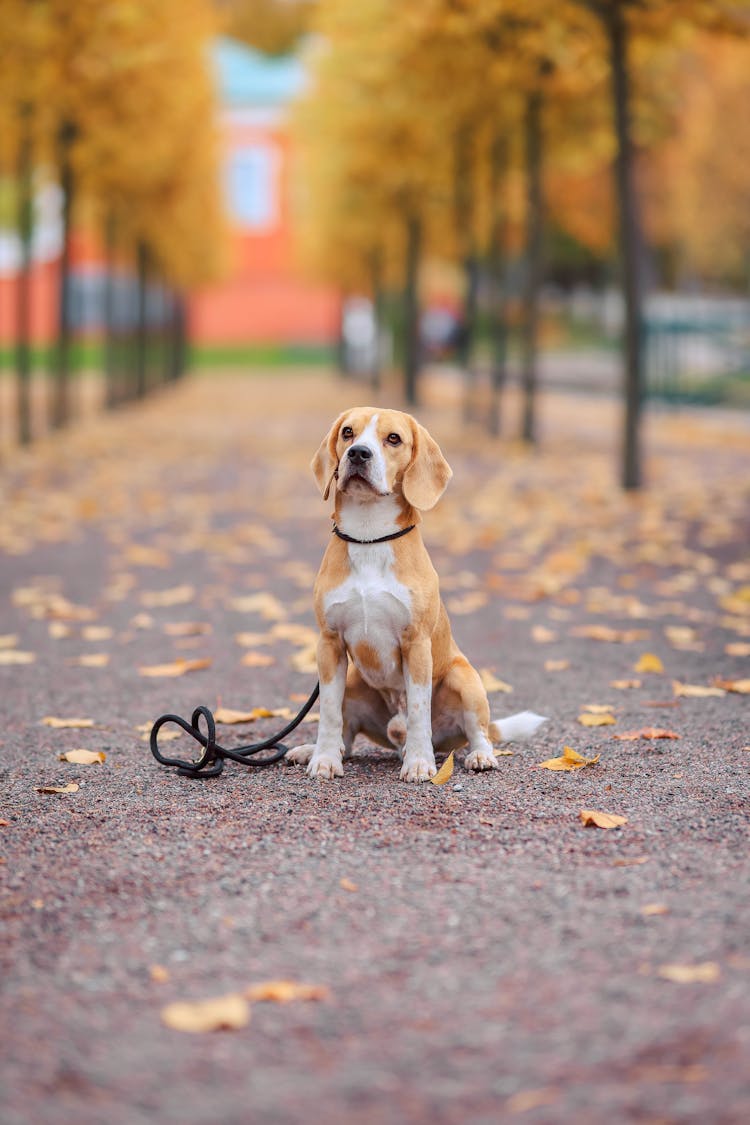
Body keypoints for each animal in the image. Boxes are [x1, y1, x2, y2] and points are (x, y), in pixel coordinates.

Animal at [287, 407, 546, 783]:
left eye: (393, 439)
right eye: (348, 432)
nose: (358, 454)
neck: (369, 536)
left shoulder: (417, 645)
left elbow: (419, 711)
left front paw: (421, 763)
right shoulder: (329, 644)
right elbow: (329, 714)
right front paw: (323, 759)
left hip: (464, 679)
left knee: (478, 733)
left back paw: (477, 756)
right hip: (352, 681)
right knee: (347, 739)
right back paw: (318, 751)